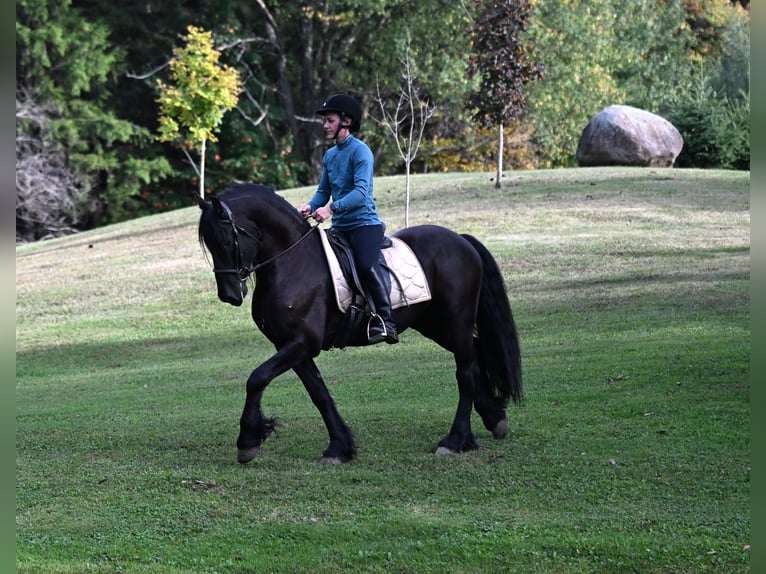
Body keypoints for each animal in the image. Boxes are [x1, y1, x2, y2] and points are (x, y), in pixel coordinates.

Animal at [197, 182, 522, 464]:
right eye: (209, 245)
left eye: (226, 240)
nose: (229, 295)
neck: (292, 262)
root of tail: (460, 240)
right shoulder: (290, 345)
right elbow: (318, 393)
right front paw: (340, 447)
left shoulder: (302, 343)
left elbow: (257, 378)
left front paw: (248, 441)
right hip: (436, 325)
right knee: (476, 356)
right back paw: (494, 419)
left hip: (456, 321)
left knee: (465, 371)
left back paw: (455, 440)